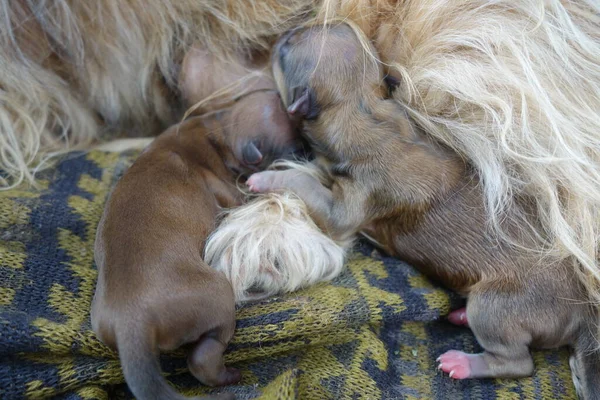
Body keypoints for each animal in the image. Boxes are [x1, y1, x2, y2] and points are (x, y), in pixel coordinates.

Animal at [91, 76, 298, 398]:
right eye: (295, 145)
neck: (219, 130)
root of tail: (131, 323)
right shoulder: (227, 190)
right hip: (217, 294)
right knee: (203, 358)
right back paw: (230, 377)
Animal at [246, 23, 600, 398]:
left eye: (287, 46)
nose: (282, 33)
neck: (362, 109)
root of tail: (583, 315)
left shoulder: (352, 200)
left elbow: (317, 196)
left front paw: (268, 177)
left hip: (498, 305)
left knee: (517, 362)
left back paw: (464, 362)